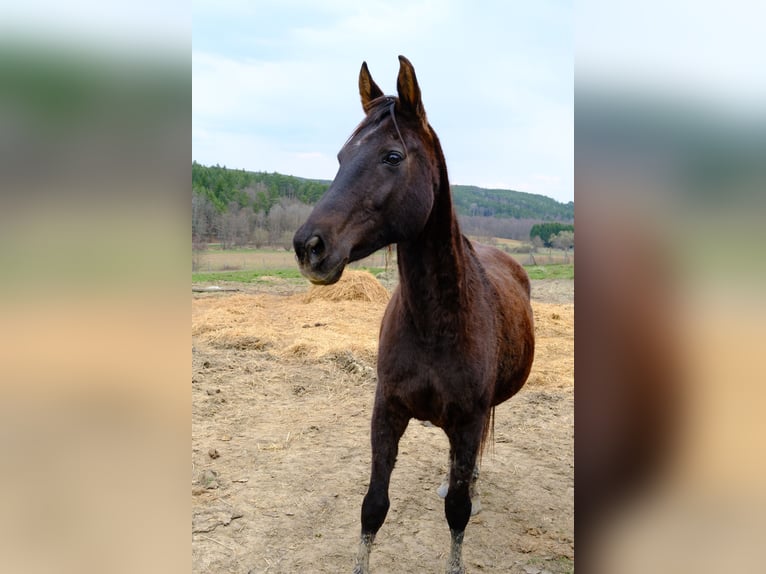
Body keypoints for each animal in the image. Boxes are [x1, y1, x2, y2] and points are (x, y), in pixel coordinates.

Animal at [293, 56, 535, 574]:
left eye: (392, 157)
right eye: (340, 158)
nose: (309, 247)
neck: (434, 324)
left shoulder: (467, 420)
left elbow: (457, 513)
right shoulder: (387, 411)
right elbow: (373, 507)